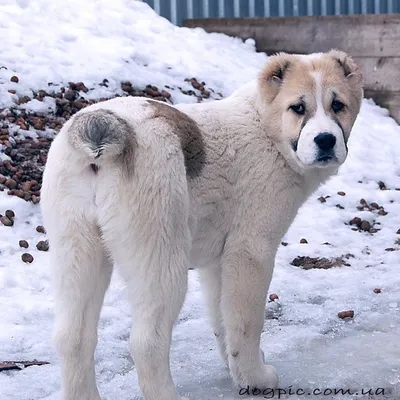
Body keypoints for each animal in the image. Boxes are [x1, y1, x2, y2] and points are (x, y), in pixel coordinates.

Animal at [40, 50, 362, 400]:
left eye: (338, 105)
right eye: (298, 108)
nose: (326, 140)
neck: (264, 127)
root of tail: (107, 128)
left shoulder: (216, 262)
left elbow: (223, 319)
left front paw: (236, 369)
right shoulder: (250, 251)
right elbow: (246, 322)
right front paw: (255, 377)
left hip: (77, 250)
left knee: (71, 337)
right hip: (159, 257)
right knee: (146, 342)